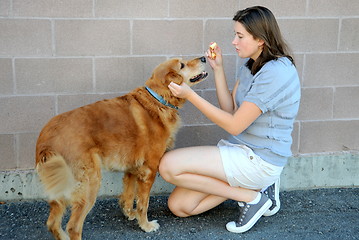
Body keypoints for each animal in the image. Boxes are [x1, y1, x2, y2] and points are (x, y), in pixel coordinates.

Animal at [35, 57, 208, 239]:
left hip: (60, 187)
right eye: (182, 65)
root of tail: (46, 141)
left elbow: (129, 194)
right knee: (73, 227)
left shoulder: (132, 168)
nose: (204, 58)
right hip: (90, 183)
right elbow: (143, 202)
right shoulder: (149, 170)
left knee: (52, 223)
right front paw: (145, 225)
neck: (158, 99)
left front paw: (130, 214)